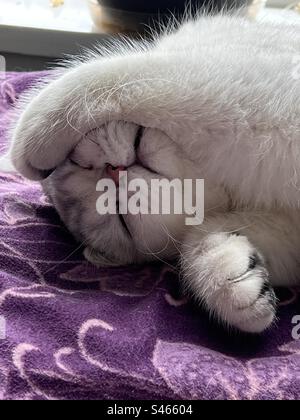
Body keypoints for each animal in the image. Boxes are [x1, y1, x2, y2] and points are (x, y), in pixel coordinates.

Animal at [4, 13, 300, 334]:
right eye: (121, 219)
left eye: (76, 162)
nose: (113, 172)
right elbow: (196, 243)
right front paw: (229, 280)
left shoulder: (226, 81)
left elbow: (117, 78)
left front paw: (26, 143)